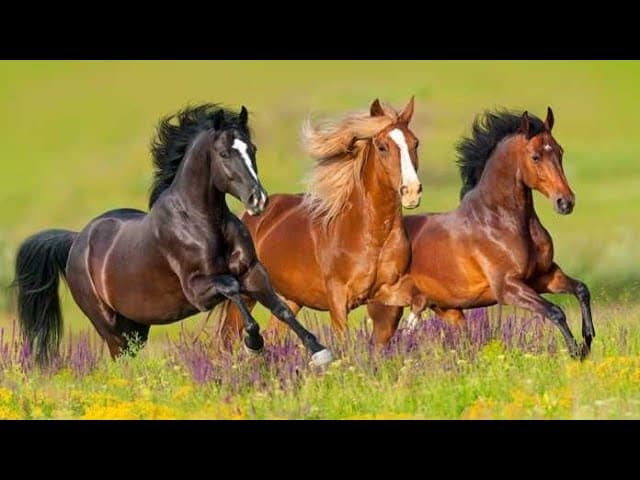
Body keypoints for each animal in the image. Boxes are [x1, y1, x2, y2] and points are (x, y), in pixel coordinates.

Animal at [13, 104, 333, 367]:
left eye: (252, 149)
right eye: (224, 153)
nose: (258, 200)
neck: (203, 223)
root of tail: (77, 240)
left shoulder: (253, 271)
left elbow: (282, 308)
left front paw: (320, 352)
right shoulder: (198, 290)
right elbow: (232, 287)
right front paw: (254, 344)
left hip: (136, 326)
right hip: (109, 326)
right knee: (120, 359)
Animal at [221, 97, 423, 345]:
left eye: (415, 143)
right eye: (382, 147)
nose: (411, 191)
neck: (371, 235)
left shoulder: (390, 291)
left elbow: (410, 308)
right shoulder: (338, 298)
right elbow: (343, 340)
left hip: (290, 298)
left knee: (274, 333)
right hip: (246, 292)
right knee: (227, 337)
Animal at [366, 108, 595, 360]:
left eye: (559, 151)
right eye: (535, 156)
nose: (565, 202)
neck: (500, 221)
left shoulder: (543, 276)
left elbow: (581, 290)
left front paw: (588, 338)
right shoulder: (508, 287)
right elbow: (555, 311)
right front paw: (576, 351)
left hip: (446, 310)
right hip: (387, 311)